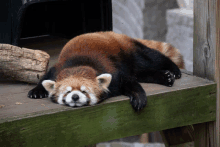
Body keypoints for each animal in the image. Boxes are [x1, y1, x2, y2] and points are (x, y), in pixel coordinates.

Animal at [28, 31, 185, 111]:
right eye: (67, 92)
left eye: (85, 91)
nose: (75, 97)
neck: (79, 64)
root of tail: (115, 34)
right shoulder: (57, 69)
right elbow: (45, 77)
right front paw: (37, 91)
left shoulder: (114, 73)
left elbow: (129, 81)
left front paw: (138, 97)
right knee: (141, 73)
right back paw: (165, 77)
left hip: (130, 52)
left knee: (152, 58)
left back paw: (173, 70)